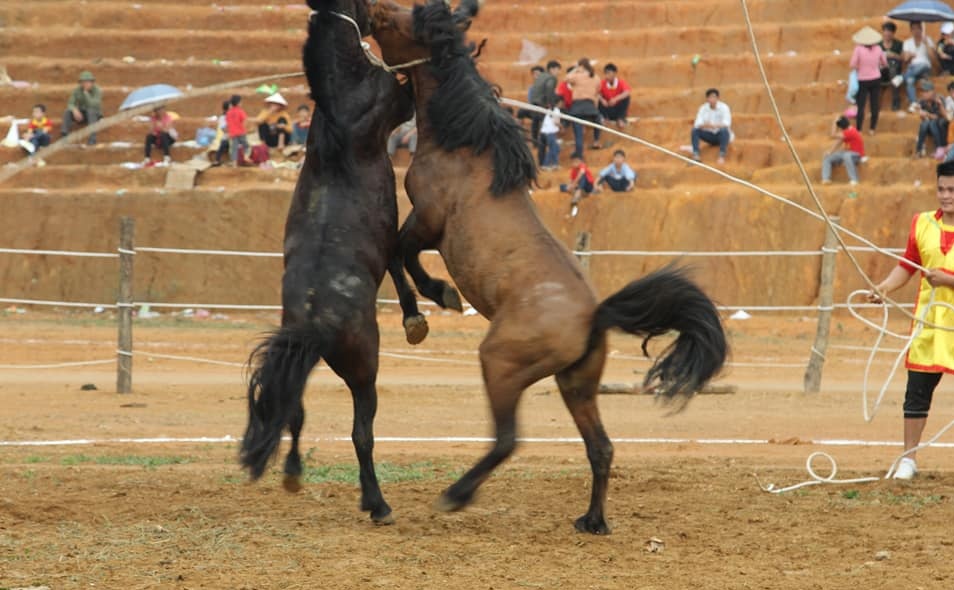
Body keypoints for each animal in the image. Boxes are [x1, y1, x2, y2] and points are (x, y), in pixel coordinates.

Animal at [242, 0, 424, 528]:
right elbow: (399, 262)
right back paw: (377, 503)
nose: (375, 17)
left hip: (311, 364)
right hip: (365, 367)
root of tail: (311, 326)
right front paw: (416, 319)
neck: (341, 104)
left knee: (292, 411)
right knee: (361, 432)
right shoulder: (397, 106)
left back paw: (293, 474)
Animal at [368, 0, 724, 536]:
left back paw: (456, 495)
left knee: (507, 439)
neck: (466, 148)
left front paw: (430, 305)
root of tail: (595, 316)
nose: (372, 9)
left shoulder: (427, 222)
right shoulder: (424, 223)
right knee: (600, 448)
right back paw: (592, 520)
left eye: (403, 19)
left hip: (501, 364)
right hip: (575, 384)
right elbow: (397, 257)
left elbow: (399, 256)